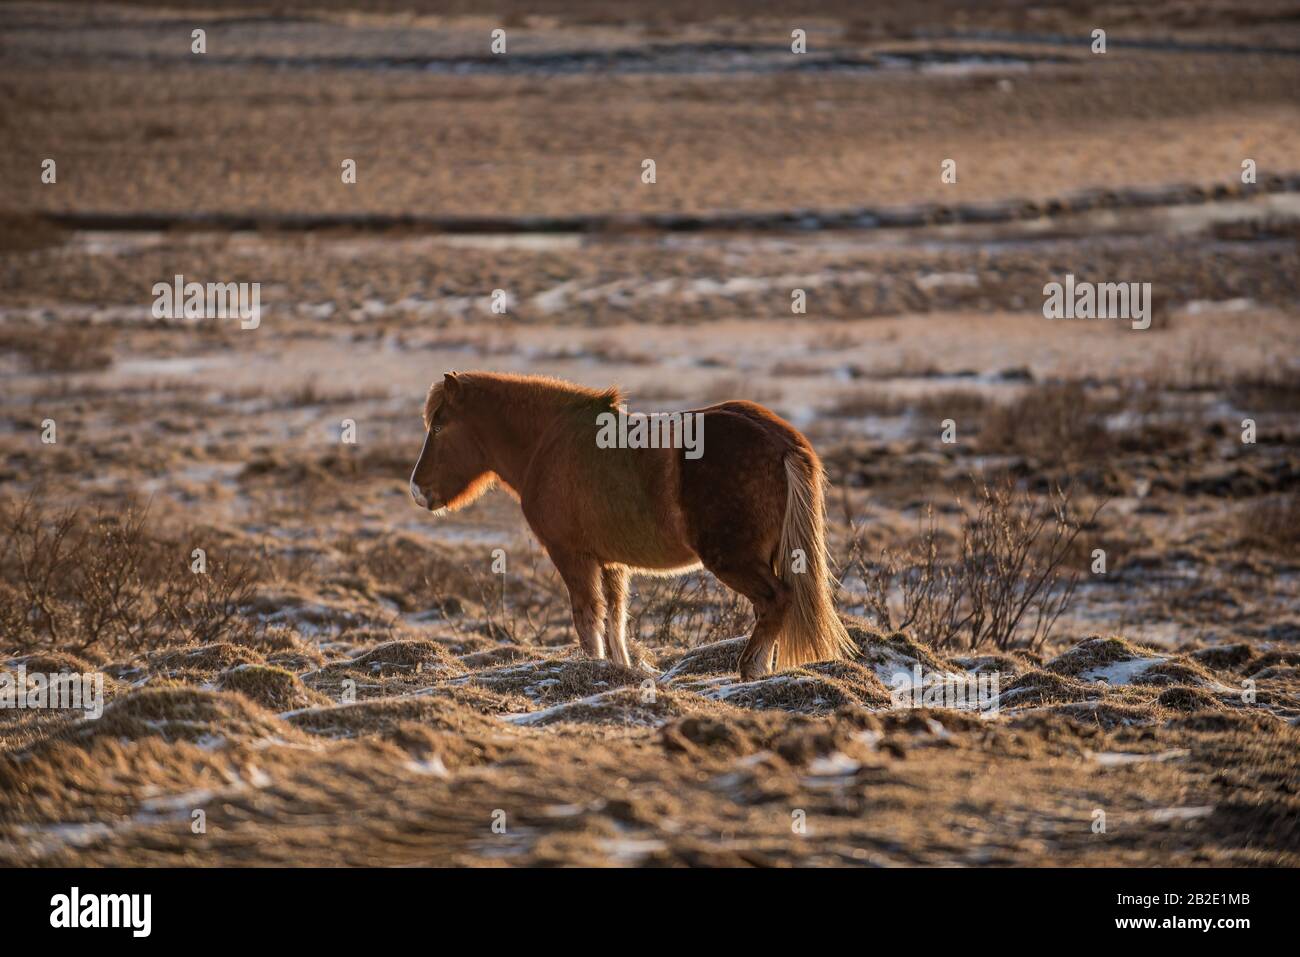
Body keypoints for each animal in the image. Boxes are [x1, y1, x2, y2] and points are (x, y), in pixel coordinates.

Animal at [408, 371, 852, 681]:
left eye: (440, 425)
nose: (418, 490)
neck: (547, 443)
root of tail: (782, 442)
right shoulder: (612, 563)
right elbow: (616, 619)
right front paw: (619, 670)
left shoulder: (572, 556)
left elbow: (587, 617)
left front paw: (593, 669)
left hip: (735, 561)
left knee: (776, 600)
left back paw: (750, 668)